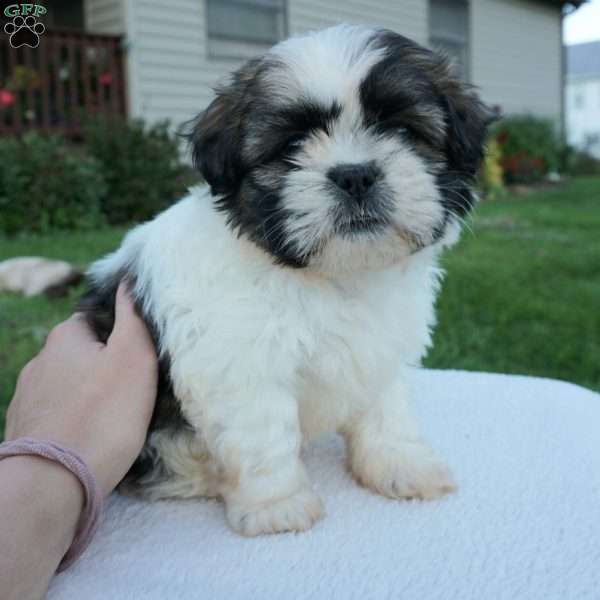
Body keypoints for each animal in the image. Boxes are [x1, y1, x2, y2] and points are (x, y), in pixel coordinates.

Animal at [81, 25, 492, 536]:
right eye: (293, 145)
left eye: (402, 131)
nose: (355, 175)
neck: (331, 276)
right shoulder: (239, 364)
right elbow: (262, 432)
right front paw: (277, 504)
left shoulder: (381, 347)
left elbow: (387, 408)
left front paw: (399, 465)